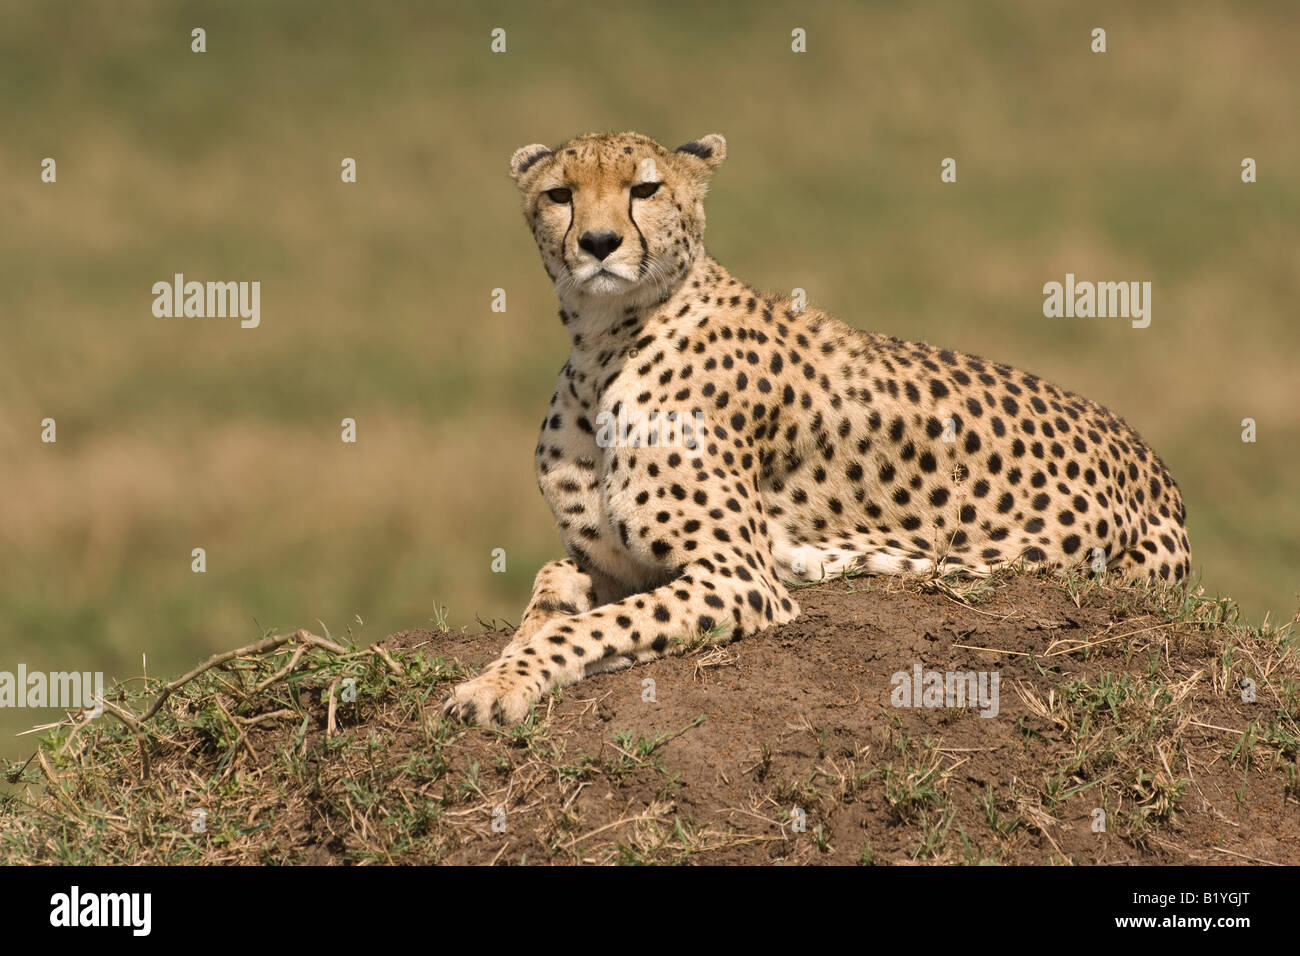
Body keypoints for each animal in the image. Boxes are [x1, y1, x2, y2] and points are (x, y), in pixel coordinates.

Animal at [441, 130, 1190, 723]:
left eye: (645, 188)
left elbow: (588, 629)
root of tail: (1153, 463)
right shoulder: (612, 562)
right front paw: (509, 658)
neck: (602, 347)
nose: (599, 243)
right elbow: (551, 585)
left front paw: (499, 685)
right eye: (560, 194)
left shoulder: (735, 577)